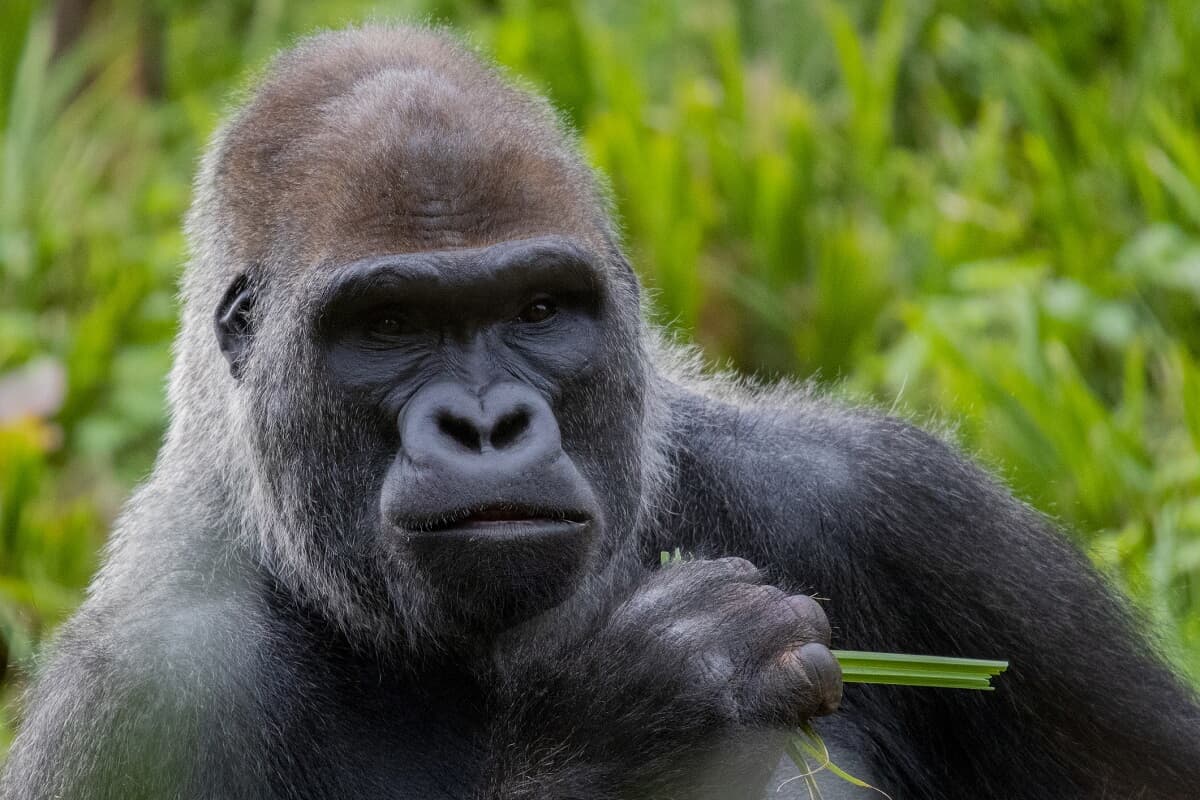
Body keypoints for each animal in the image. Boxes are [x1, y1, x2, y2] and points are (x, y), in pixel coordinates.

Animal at [2, 23, 1200, 800]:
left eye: (539, 308)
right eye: (389, 323)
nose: (486, 424)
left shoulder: (907, 508)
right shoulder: (138, 702)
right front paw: (644, 716)